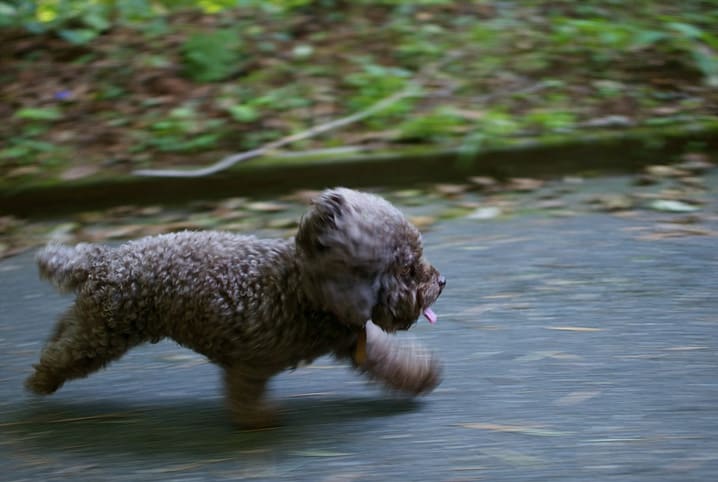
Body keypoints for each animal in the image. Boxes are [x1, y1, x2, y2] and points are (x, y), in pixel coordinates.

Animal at [26, 186, 444, 428]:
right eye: (408, 269)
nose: (441, 282)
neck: (306, 289)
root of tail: (104, 260)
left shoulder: (350, 342)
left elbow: (388, 361)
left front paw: (420, 375)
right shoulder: (250, 362)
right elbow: (243, 396)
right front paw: (259, 419)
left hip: (95, 319)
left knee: (64, 327)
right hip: (105, 334)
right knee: (65, 355)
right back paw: (41, 381)